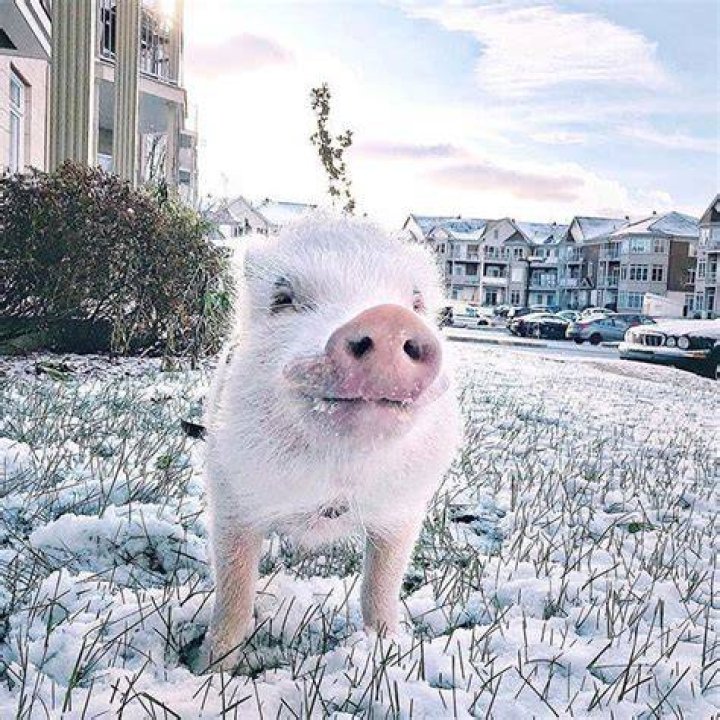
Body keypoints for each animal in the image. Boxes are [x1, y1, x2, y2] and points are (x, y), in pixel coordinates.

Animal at [202, 213, 461, 670]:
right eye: (283, 299)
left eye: (415, 303)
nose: (387, 317)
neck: (335, 484)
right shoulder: (230, 493)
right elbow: (234, 588)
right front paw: (208, 671)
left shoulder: (404, 511)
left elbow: (382, 583)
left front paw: (387, 650)